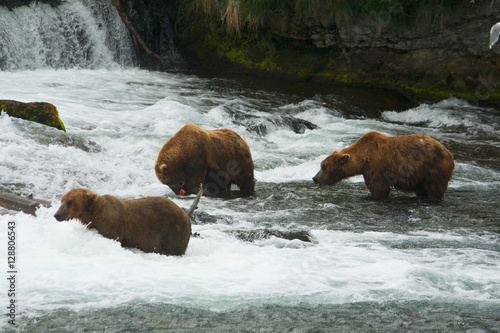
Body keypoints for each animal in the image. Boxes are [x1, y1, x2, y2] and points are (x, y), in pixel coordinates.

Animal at [54, 187, 203, 254]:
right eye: (62, 200)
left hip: (172, 230)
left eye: (69, 202)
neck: (94, 213)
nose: (57, 215)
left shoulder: (112, 224)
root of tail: (186, 216)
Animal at [314, 131, 456, 200]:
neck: (363, 158)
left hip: (433, 169)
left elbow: (380, 188)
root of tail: (450, 155)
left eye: (324, 167)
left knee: (434, 189)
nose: (314, 178)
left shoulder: (376, 166)